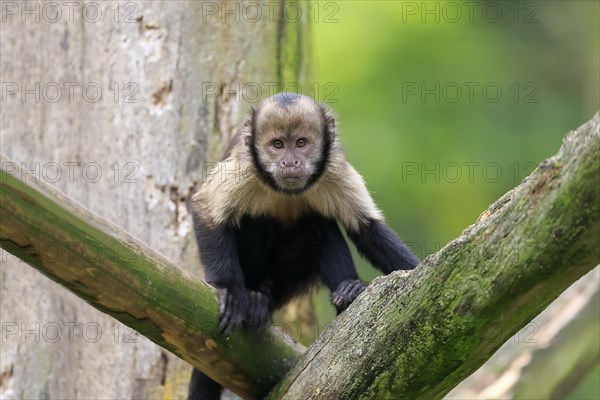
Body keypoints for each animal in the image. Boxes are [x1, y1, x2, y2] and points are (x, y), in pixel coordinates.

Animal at [188, 92, 418, 398]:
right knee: (254, 217)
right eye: (277, 145)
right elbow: (206, 210)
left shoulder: (333, 167)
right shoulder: (244, 167)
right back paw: (254, 298)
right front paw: (229, 290)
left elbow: (368, 229)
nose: (290, 163)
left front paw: (416, 270)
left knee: (319, 222)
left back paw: (348, 292)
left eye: (301, 143)